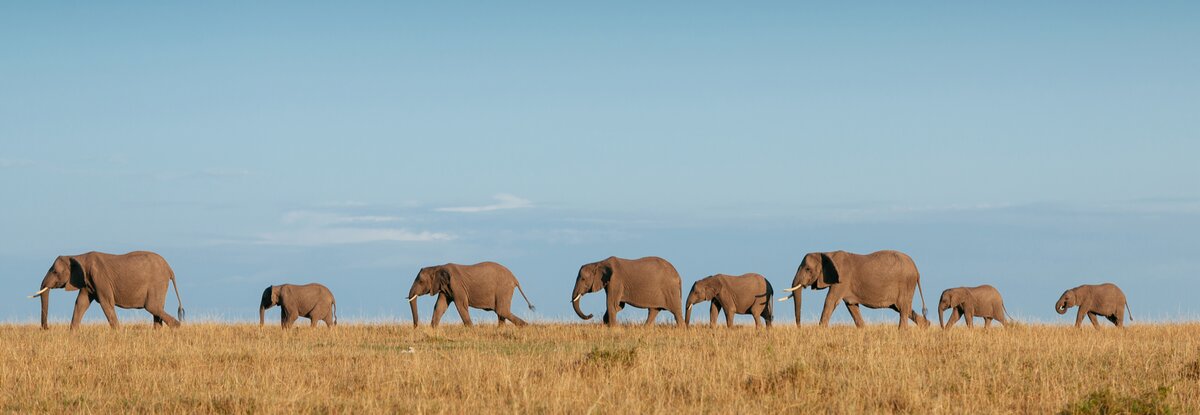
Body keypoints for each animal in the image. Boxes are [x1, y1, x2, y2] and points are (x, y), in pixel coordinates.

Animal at [28, 249, 184, 331]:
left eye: (54, 271)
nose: (46, 329)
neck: (79, 256)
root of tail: (170, 269)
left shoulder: (99, 278)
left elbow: (106, 303)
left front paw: (118, 332)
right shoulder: (87, 282)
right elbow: (81, 303)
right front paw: (73, 333)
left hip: (157, 282)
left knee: (152, 307)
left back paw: (177, 327)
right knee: (157, 308)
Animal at [777, 249, 926, 328]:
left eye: (808, 269)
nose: (799, 328)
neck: (826, 253)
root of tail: (917, 270)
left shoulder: (842, 280)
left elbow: (830, 301)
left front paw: (821, 329)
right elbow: (851, 306)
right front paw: (863, 330)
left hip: (906, 283)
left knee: (903, 308)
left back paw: (902, 331)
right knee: (903, 308)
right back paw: (926, 325)